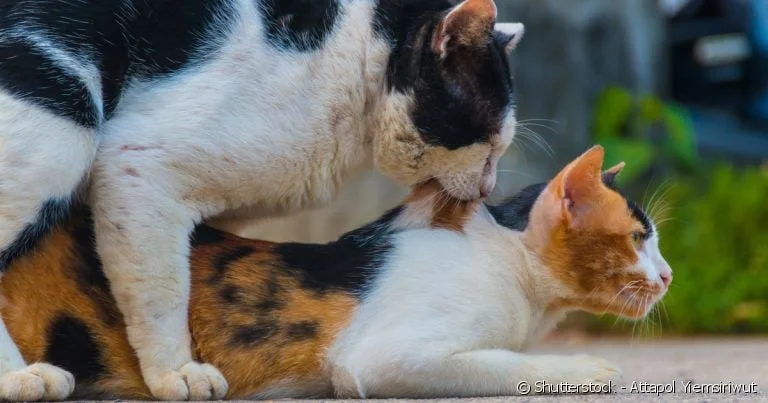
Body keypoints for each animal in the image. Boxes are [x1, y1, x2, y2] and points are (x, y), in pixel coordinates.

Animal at [0, 0, 520, 400]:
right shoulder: (138, 167)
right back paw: (21, 377)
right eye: (491, 144)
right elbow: (163, 290)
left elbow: (205, 277)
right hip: (61, 126)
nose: (488, 188)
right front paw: (175, 373)